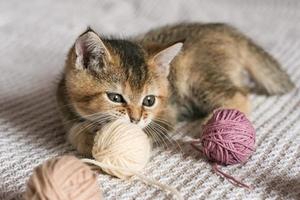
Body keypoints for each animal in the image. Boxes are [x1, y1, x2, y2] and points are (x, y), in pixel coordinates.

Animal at [56, 23, 292, 155]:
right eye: (115, 97)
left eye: (149, 100)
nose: (135, 119)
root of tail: (228, 32)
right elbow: (74, 132)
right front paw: (87, 137)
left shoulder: (167, 114)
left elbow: (147, 133)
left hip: (197, 77)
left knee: (239, 95)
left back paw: (210, 123)